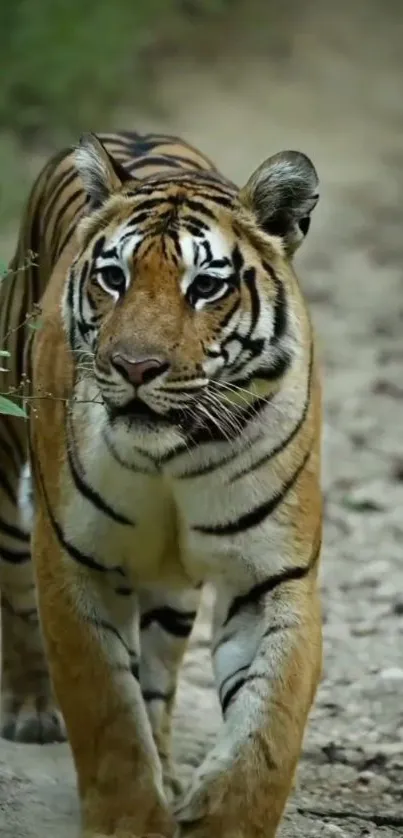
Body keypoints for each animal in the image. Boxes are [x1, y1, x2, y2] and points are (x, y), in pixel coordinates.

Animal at [0, 131, 322, 838]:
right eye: (113, 277)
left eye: (205, 286)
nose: (135, 366)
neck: (176, 454)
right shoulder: (74, 559)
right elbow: (107, 712)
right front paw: (131, 821)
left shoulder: (271, 576)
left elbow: (268, 726)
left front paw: (222, 819)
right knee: (14, 594)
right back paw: (31, 708)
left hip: (172, 594)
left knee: (157, 676)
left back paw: (170, 771)